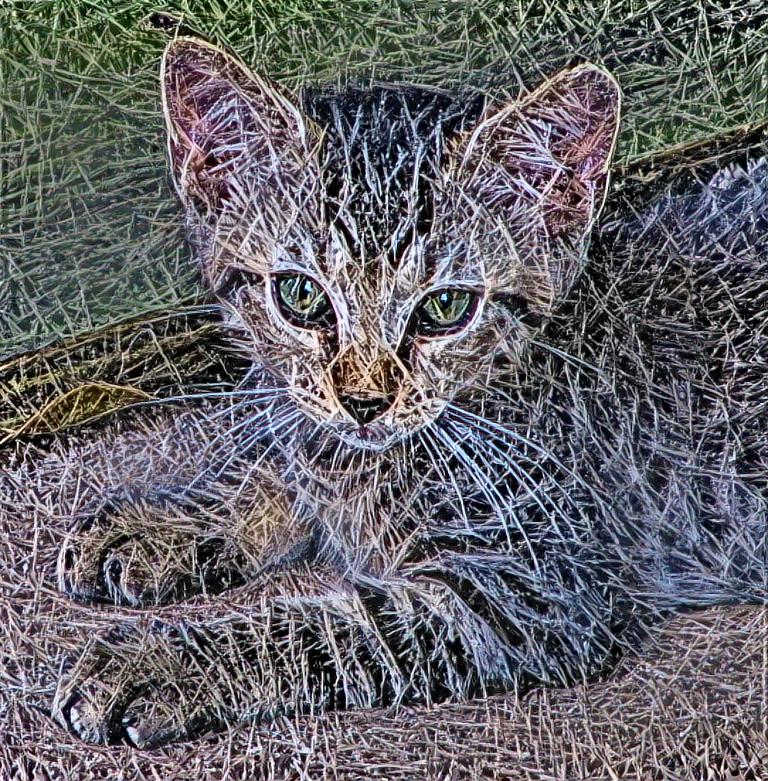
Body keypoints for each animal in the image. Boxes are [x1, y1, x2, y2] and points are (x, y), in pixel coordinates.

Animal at [3, 36, 764, 748]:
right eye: (301, 295)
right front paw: (164, 522)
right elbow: (281, 473)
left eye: (446, 307)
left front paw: (164, 663)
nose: (364, 400)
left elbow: (328, 627)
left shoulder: (534, 589)